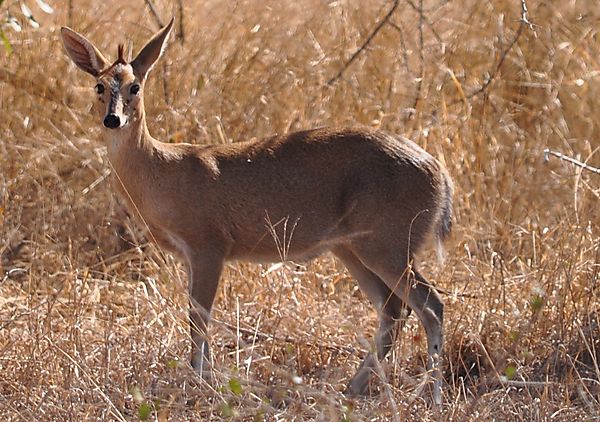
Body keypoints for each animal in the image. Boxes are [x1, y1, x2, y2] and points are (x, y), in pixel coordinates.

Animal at [62, 18, 454, 404]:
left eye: (135, 86)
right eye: (99, 85)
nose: (112, 120)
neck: (163, 171)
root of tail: (439, 173)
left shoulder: (209, 245)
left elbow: (199, 317)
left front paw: (203, 384)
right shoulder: (191, 255)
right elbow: (195, 317)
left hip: (387, 244)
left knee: (430, 304)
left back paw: (430, 396)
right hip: (351, 248)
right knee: (394, 309)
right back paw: (350, 390)